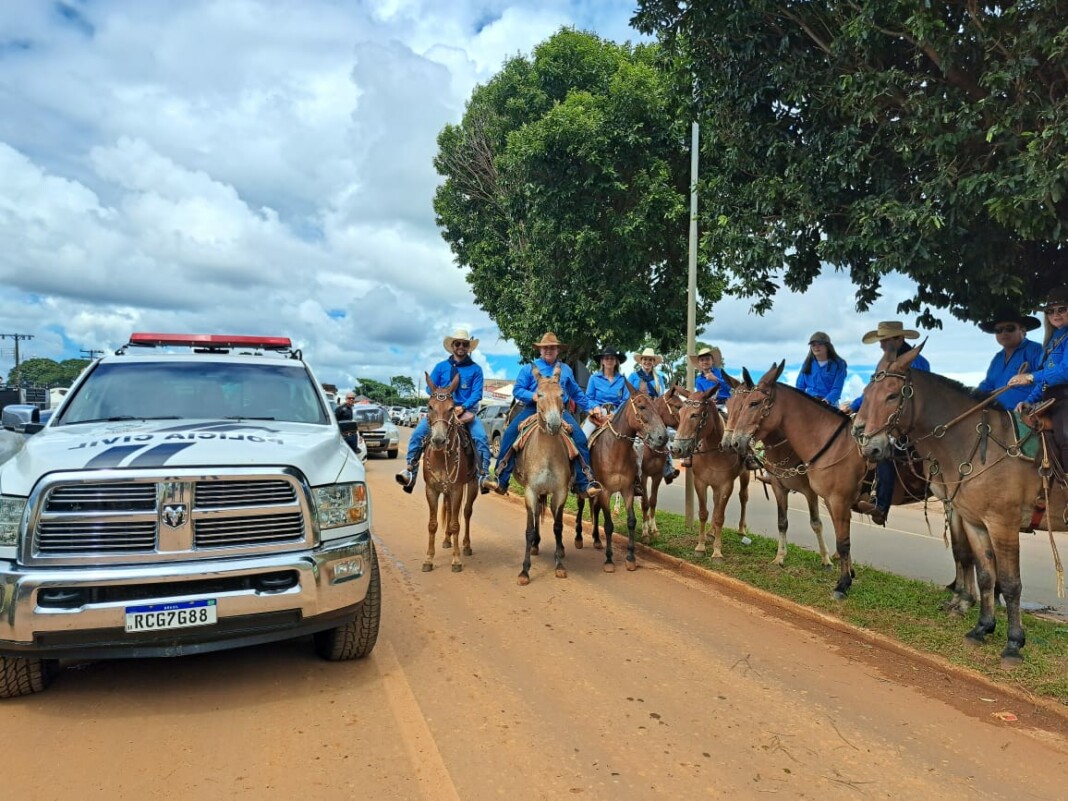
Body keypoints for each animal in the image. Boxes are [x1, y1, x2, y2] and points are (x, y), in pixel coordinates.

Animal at [420, 373, 480, 572]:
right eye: (430, 406)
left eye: (451, 408)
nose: (438, 440)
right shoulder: (431, 490)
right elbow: (432, 524)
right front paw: (429, 559)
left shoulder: (457, 490)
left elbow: (455, 524)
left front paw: (456, 560)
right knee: (446, 507)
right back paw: (446, 540)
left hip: (472, 484)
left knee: (467, 512)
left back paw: (466, 545)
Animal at [516, 367, 576, 585]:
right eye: (539, 394)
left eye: (562, 394)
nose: (555, 425)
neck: (546, 454)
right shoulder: (530, 491)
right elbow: (529, 529)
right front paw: (524, 571)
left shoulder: (560, 492)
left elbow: (557, 526)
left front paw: (559, 564)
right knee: (534, 517)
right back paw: (534, 545)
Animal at [576, 380, 666, 572]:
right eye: (641, 406)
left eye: (656, 407)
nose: (663, 437)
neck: (615, 450)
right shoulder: (605, 491)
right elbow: (609, 525)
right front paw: (609, 560)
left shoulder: (627, 490)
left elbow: (631, 521)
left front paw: (631, 558)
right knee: (581, 506)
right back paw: (579, 538)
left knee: (595, 509)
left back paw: (596, 540)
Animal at [666, 386, 751, 559]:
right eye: (680, 413)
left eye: (695, 415)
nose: (676, 449)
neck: (714, 451)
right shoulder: (700, 482)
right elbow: (704, 513)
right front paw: (701, 545)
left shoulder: (726, 485)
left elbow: (719, 517)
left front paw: (717, 551)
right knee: (716, 501)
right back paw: (711, 532)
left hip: (745, 475)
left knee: (743, 497)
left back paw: (741, 528)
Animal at [845, 346, 1063, 666]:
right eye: (866, 393)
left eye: (893, 395)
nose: (867, 445)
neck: (978, 442)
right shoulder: (973, 520)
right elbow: (984, 572)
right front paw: (981, 626)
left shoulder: (1003, 524)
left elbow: (1010, 582)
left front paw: (1013, 643)